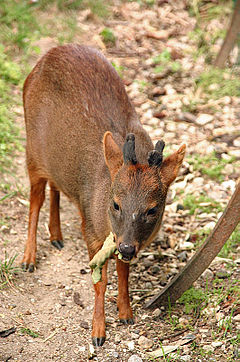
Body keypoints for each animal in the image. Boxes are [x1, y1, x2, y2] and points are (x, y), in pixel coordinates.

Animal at [21, 43, 186, 346]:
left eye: (153, 209)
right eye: (116, 204)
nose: (127, 247)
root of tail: (45, 57)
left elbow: (123, 273)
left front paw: (126, 312)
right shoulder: (91, 232)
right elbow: (100, 280)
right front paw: (98, 331)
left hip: (57, 160)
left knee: (55, 186)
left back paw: (56, 235)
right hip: (33, 151)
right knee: (36, 198)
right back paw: (29, 258)